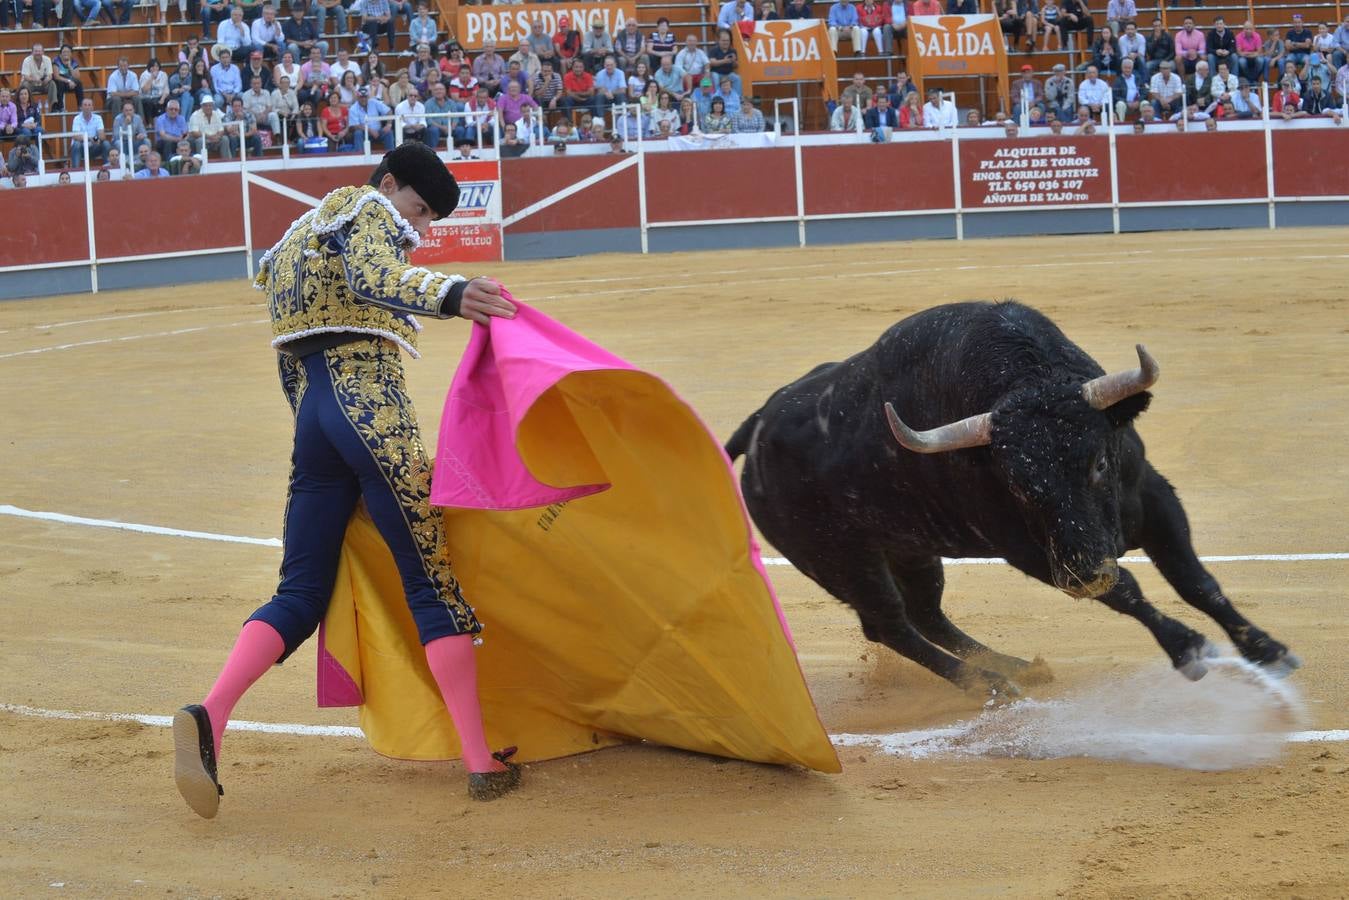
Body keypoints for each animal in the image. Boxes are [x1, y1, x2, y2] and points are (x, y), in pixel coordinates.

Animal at [723, 302, 1300, 696]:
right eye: (1016, 484)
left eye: (1099, 461)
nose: (1085, 575)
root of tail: (758, 425)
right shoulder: (1029, 551)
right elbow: (1129, 590)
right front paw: (1188, 649)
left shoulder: (1155, 500)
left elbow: (1196, 582)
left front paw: (1267, 650)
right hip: (840, 560)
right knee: (890, 623)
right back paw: (988, 685)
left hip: (910, 549)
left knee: (924, 613)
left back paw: (1016, 667)